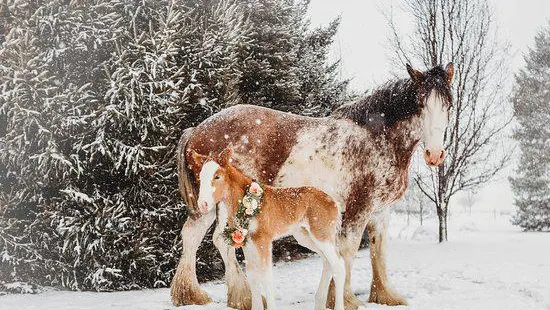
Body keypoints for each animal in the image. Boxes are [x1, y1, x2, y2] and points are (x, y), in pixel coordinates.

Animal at [190, 148, 344, 310]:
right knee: (327, 262)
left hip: (322, 236)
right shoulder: (246, 242)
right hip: (305, 237)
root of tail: (334, 202)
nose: (203, 205)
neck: (244, 202)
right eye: (200, 177)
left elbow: (265, 275)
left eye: (217, 176)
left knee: (338, 265)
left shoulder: (263, 241)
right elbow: (252, 275)